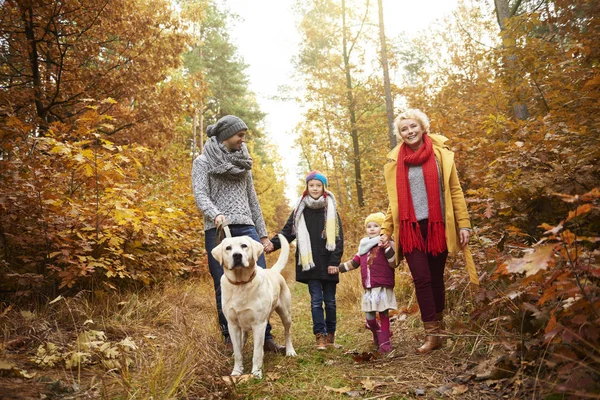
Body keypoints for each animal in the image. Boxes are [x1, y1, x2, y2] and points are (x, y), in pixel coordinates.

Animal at [211, 233, 296, 376]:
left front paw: (256, 372)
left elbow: (256, 353)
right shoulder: (232, 325)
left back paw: (290, 351)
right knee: (242, 341)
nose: (237, 255)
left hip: (286, 314)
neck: (241, 284)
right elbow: (238, 351)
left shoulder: (259, 325)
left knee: (287, 333)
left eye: (244, 246)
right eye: (228, 248)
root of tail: (273, 271)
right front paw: (236, 371)